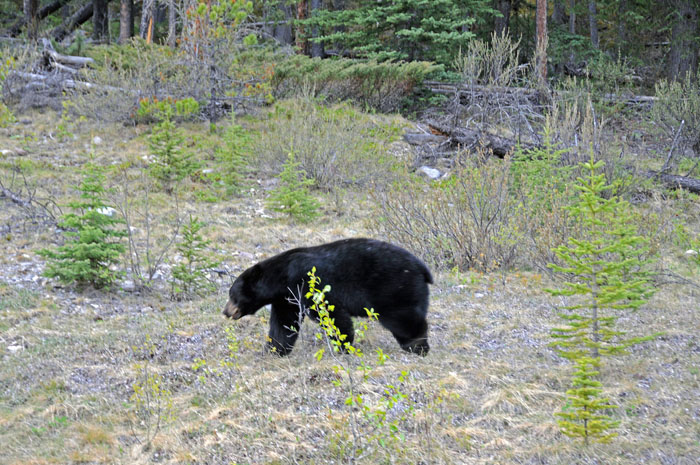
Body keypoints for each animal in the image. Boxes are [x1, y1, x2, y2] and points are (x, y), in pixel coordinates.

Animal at [224, 239, 432, 356]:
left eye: (232, 295)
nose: (225, 312)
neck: (282, 277)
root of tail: (422, 267)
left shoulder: (307, 283)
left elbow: (331, 315)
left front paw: (343, 345)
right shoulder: (286, 298)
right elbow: (284, 324)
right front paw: (273, 350)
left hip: (393, 286)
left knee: (403, 317)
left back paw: (417, 346)